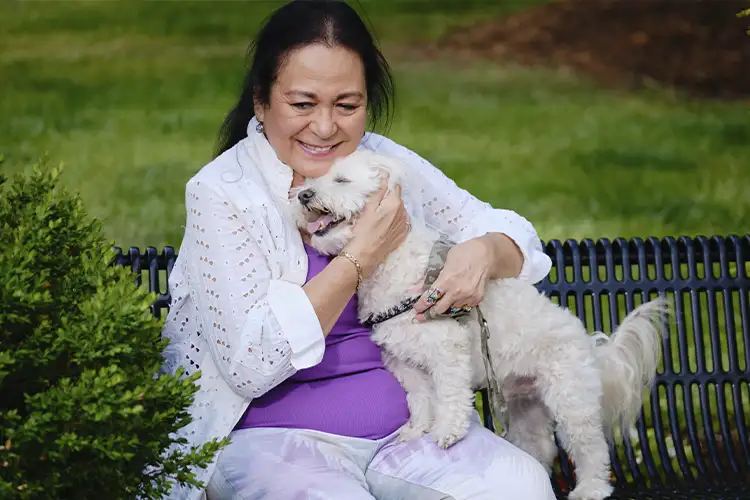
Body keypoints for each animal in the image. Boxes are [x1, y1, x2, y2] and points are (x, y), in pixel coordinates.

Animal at [294, 149, 668, 500]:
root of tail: (588, 343)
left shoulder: (448, 352)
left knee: (591, 448)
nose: (303, 195)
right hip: (526, 407)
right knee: (541, 447)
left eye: (341, 180)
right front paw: (418, 430)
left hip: (570, 397)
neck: (393, 263)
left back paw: (591, 488)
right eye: (315, 178)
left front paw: (448, 431)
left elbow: (450, 396)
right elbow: (420, 400)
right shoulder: (405, 362)